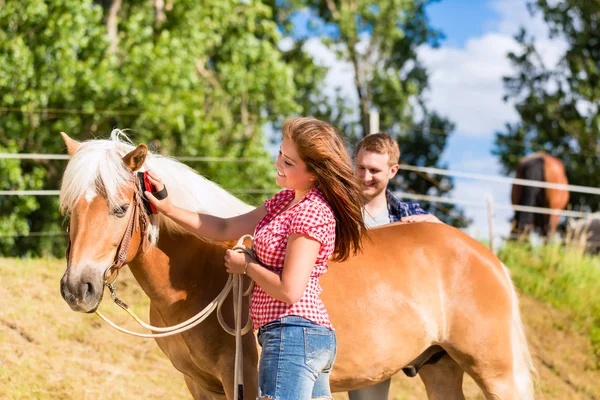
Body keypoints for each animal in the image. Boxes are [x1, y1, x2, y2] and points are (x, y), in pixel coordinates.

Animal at [59, 130, 536, 398]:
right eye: (69, 210)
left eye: (121, 208)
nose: (77, 288)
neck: (198, 273)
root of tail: (486, 258)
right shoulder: (199, 384)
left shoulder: (244, 381)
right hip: (441, 369)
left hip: (496, 375)